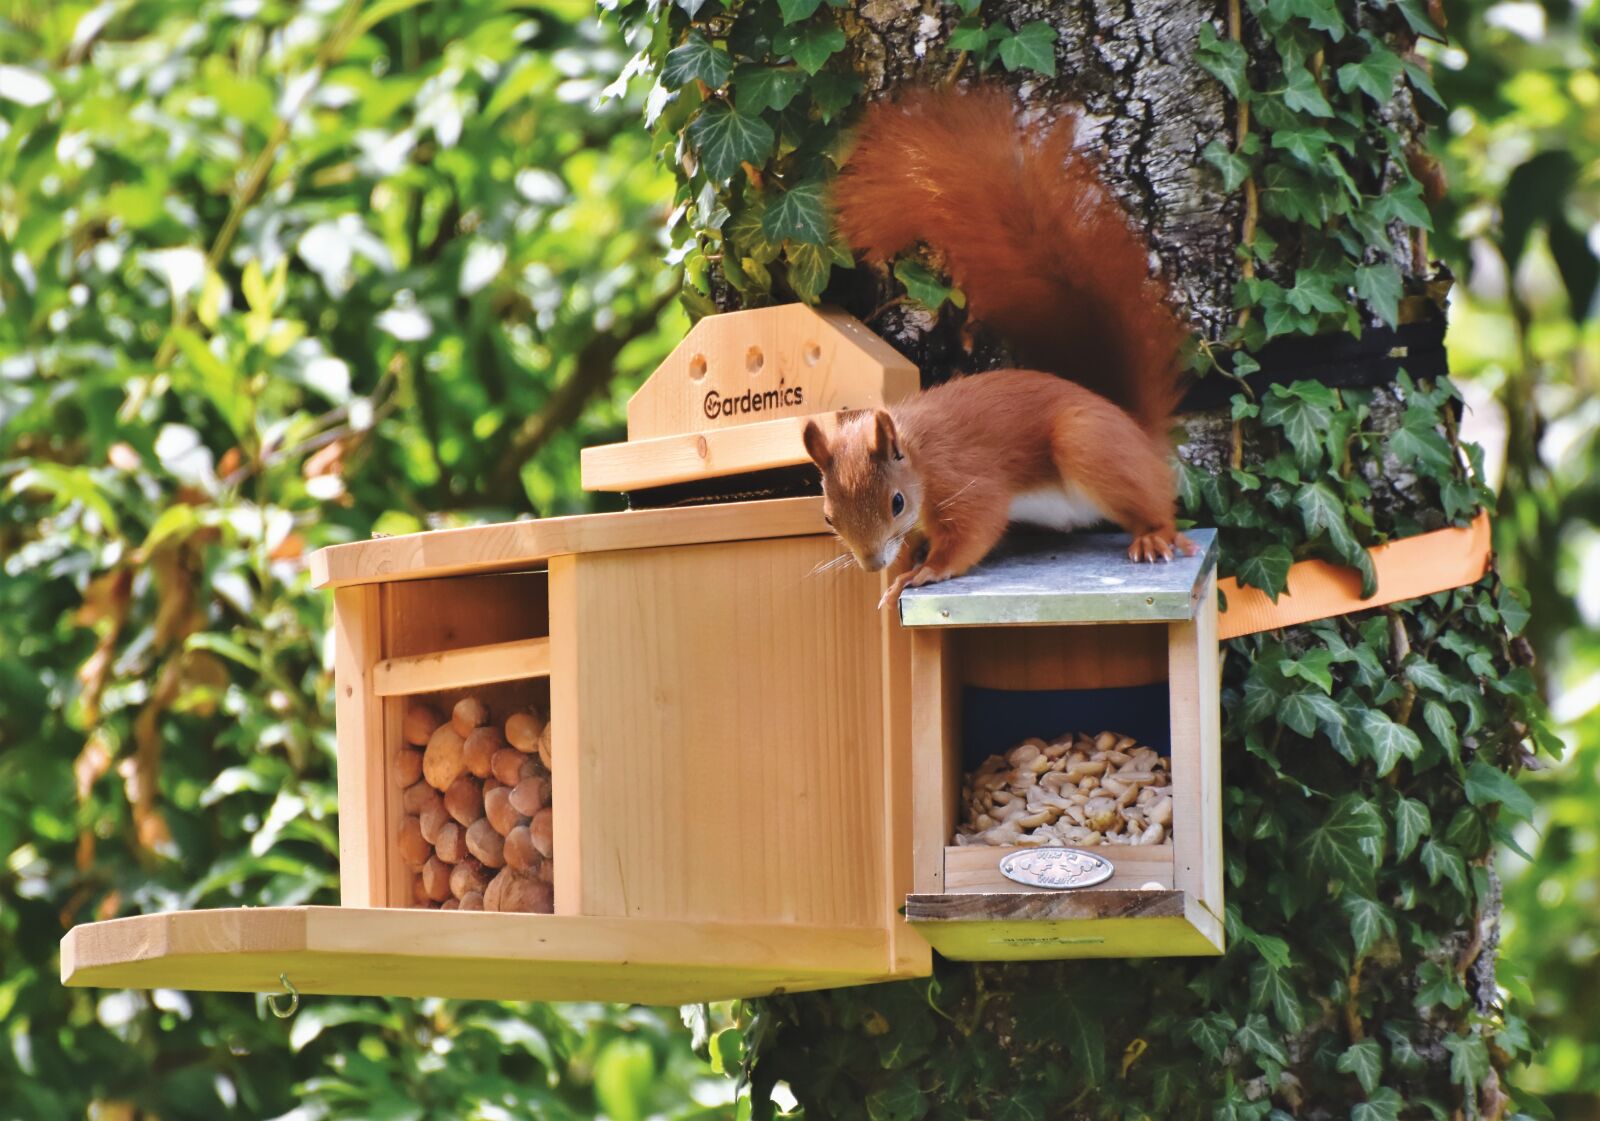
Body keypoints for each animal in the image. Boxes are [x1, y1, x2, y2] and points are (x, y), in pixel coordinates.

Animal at [801, 84, 1195, 609]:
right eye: (827, 515)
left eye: (897, 502)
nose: (871, 564)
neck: (917, 454)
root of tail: (1137, 430)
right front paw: (908, 562)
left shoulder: (964, 479)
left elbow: (975, 528)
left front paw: (923, 572)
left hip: (1088, 441)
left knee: (1154, 501)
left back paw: (1156, 534)